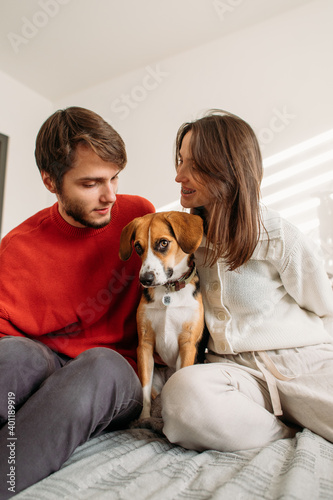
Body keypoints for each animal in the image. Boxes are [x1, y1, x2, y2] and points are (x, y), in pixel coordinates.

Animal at [118, 211, 204, 418]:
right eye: (138, 247)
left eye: (163, 243)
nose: (145, 279)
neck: (168, 291)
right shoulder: (145, 345)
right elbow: (144, 393)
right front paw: (144, 418)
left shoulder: (188, 344)